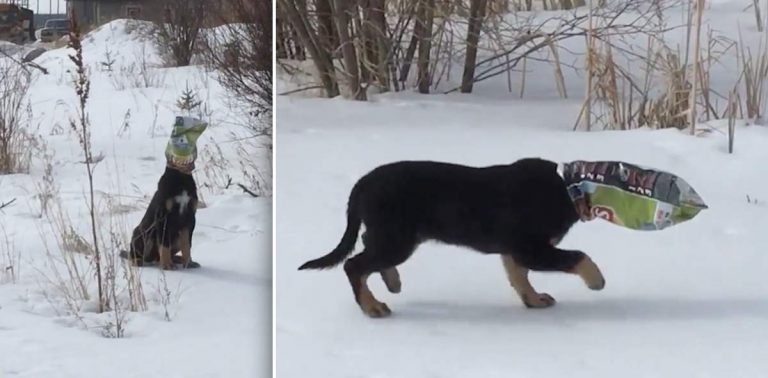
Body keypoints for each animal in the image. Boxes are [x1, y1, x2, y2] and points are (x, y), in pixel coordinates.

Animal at [300, 158, 608, 318]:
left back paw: (392, 282)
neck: (567, 188)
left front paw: (534, 300)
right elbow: (579, 257)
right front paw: (596, 281)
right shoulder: (529, 248)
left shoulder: (513, 250)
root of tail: (362, 183)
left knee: (366, 247)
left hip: (392, 235)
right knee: (354, 265)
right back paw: (372, 306)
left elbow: (519, 277)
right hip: (397, 238)